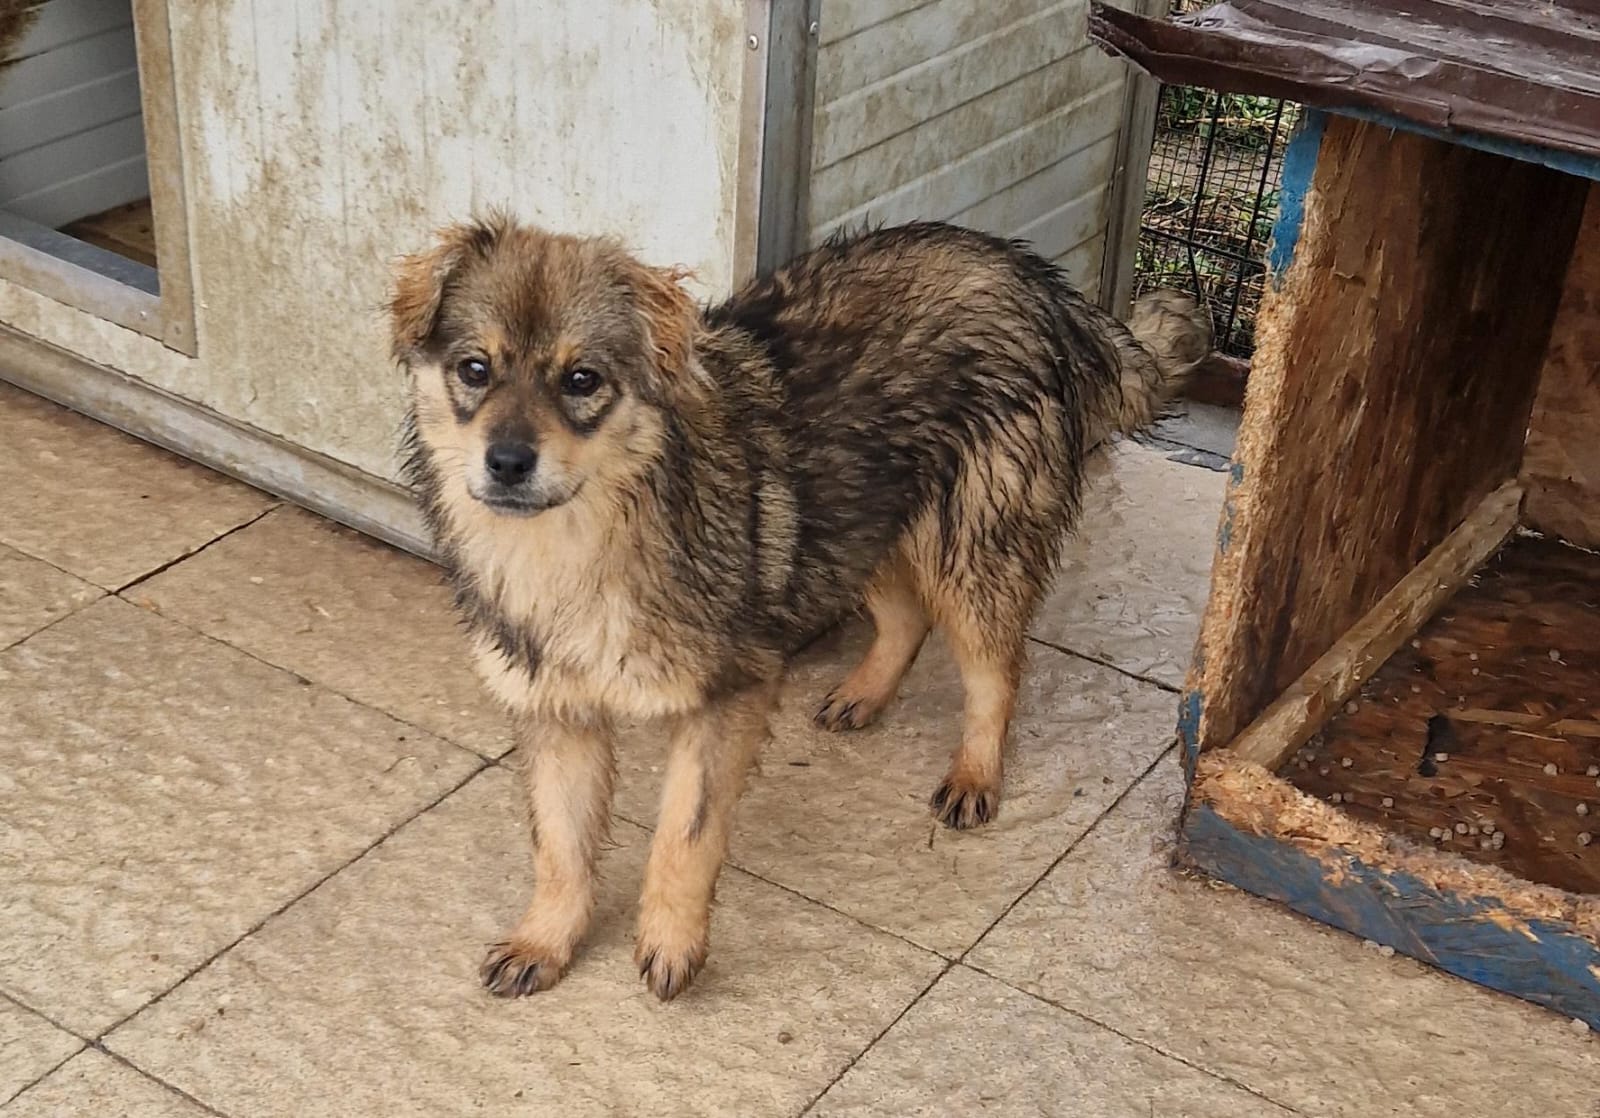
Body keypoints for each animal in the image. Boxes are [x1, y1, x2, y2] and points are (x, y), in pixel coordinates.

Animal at [389, 216, 1209, 1001]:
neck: (580, 543)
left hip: (969, 545)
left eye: (582, 379)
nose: (506, 462)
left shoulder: (727, 697)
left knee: (996, 668)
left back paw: (976, 772)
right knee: (905, 618)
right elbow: (559, 847)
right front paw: (547, 940)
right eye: (474, 370)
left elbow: (683, 835)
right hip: (852, 519)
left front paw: (671, 943)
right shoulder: (557, 712)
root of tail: (1038, 281)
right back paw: (865, 693)